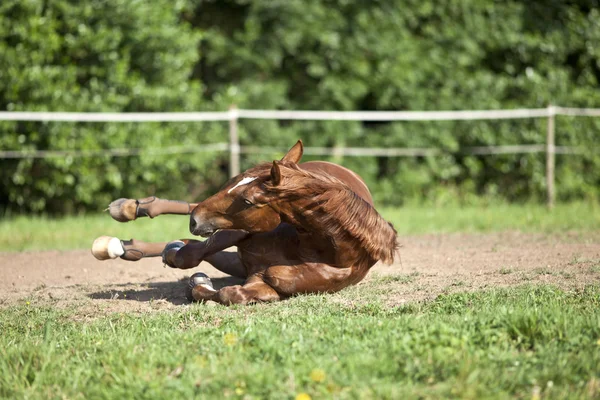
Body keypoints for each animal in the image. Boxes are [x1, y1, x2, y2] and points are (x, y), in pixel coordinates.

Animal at [92, 141, 398, 306]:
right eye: (236, 185)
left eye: (248, 201)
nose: (195, 221)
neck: (314, 249)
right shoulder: (241, 230)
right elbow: (190, 255)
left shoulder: (264, 283)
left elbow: (231, 293)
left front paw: (199, 283)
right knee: (192, 220)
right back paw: (130, 211)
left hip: (237, 257)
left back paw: (131, 245)